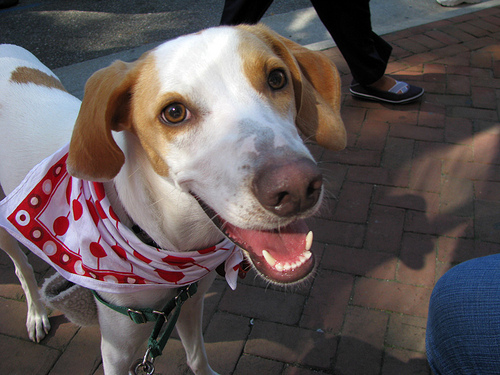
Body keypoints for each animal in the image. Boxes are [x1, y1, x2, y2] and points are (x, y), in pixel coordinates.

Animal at [0, 25, 344, 374]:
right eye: (174, 113)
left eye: (276, 78)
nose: (297, 189)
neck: (169, 242)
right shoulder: (116, 350)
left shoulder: (189, 303)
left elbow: (197, 356)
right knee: (21, 269)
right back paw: (36, 315)